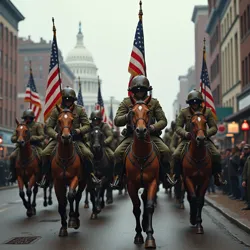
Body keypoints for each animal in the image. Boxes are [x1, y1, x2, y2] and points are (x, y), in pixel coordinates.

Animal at [51, 105, 87, 236]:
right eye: (59, 120)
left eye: (72, 120)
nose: (66, 137)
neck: (65, 158)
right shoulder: (57, 182)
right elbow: (62, 203)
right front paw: (63, 227)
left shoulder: (75, 178)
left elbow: (71, 196)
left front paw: (72, 219)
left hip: (83, 181)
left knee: (77, 196)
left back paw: (76, 217)